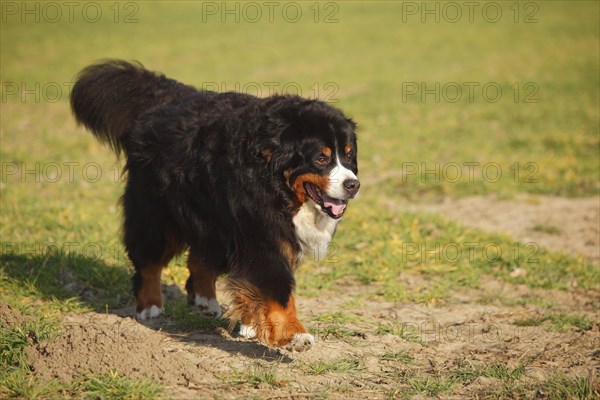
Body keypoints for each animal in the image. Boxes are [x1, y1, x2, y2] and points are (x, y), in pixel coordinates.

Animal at [70, 59, 360, 350]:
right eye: (321, 159)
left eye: (348, 156)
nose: (353, 185)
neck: (276, 182)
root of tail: (163, 98)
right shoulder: (261, 234)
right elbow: (278, 288)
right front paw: (294, 333)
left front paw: (251, 325)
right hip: (156, 212)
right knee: (149, 259)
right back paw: (149, 306)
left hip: (208, 218)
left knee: (199, 257)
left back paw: (205, 300)